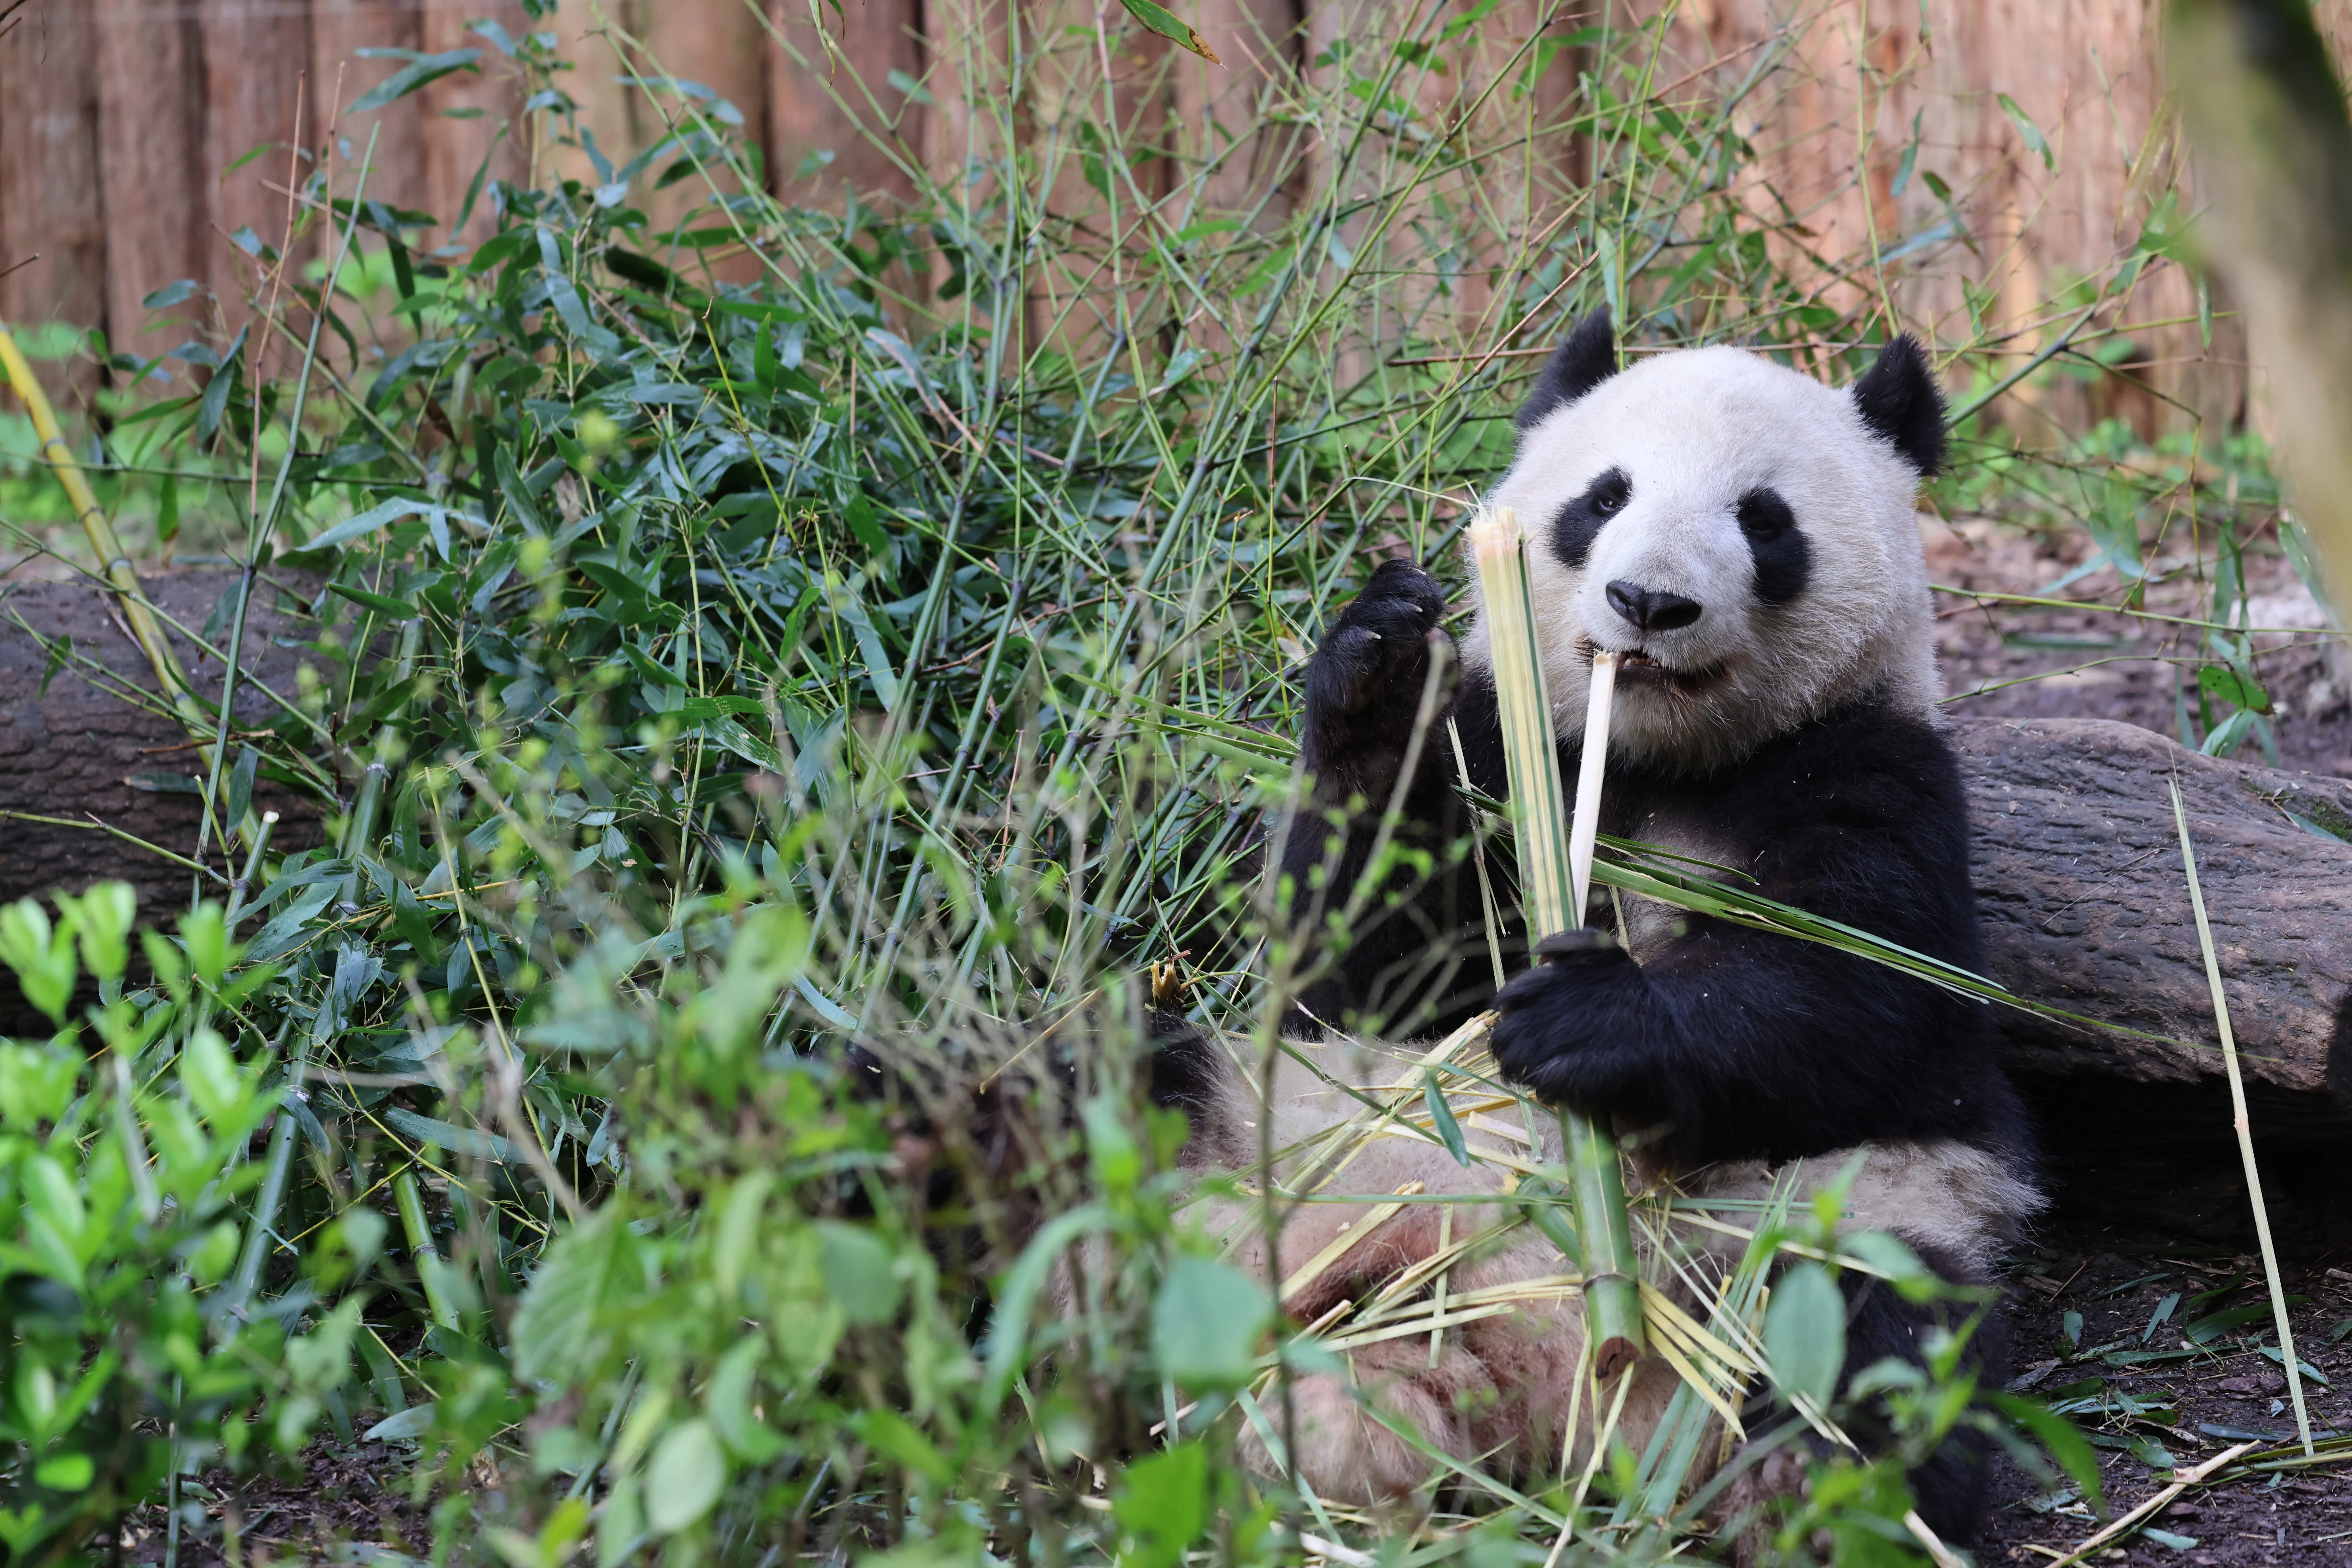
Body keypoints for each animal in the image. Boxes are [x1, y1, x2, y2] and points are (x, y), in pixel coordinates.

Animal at [1154, 310, 2041, 1547]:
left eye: (1764, 520)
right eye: (1604, 496)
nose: (1650, 604)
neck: (1655, 758)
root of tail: (1539, 1375)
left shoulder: (1878, 777)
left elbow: (1857, 994)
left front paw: (1590, 1020)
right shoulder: (1493, 752)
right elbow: (1362, 966)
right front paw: (1381, 669)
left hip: (1847, 1217)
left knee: (1873, 1351)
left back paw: (1803, 1493)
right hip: (1275, 1132)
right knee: (1102, 1101)